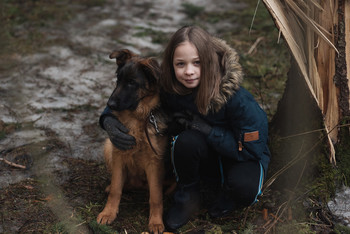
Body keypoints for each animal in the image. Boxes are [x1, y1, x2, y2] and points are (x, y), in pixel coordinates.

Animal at [97, 48, 168, 233]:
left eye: (131, 83)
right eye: (118, 80)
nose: (110, 104)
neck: (138, 116)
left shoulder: (154, 162)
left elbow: (156, 197)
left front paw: (155, 222)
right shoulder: (119, 154)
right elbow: (116, 189)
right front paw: (108, 213)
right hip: (109, 145)